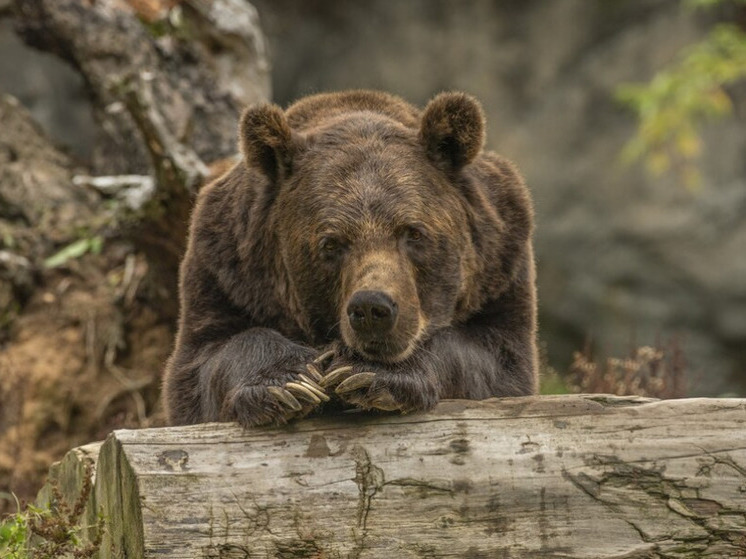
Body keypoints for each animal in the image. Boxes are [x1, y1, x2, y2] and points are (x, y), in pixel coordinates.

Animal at [161, 89, 536, 426]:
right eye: (331, 243)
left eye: (413, 232)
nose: (372, 308)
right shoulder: (226, 269)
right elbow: (205, 360)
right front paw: (290, 382)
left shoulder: (500, 264)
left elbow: (494, 359)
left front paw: (366, 373)